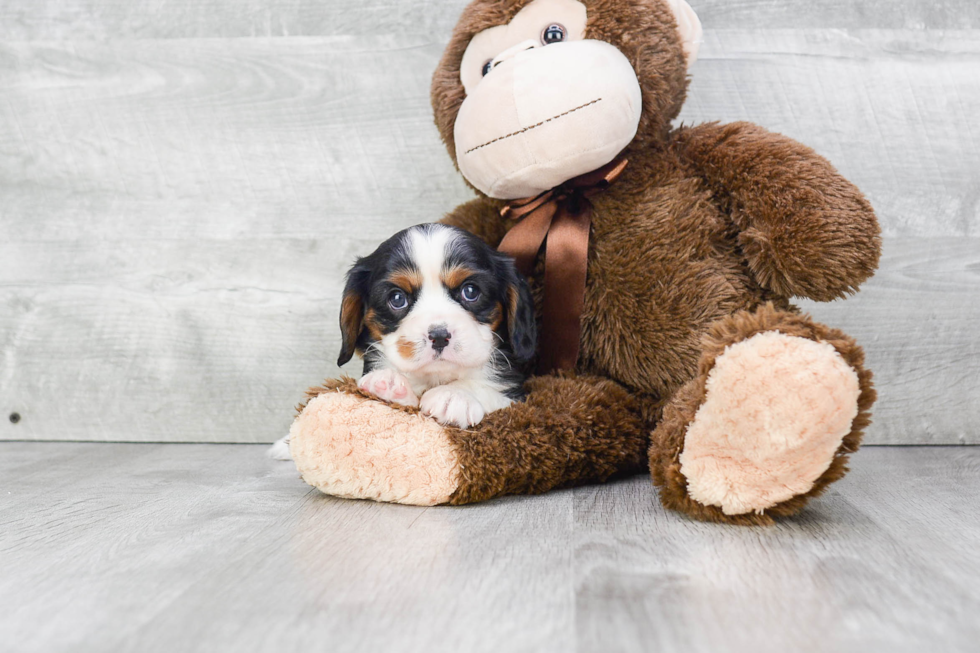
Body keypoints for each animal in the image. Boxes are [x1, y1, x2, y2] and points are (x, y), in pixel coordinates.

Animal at [336, 223, 536, 428]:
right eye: (397, 298)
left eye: (470, 291)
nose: (439, 336)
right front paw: (386, 381)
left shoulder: (515, 398)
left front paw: (454, 395)